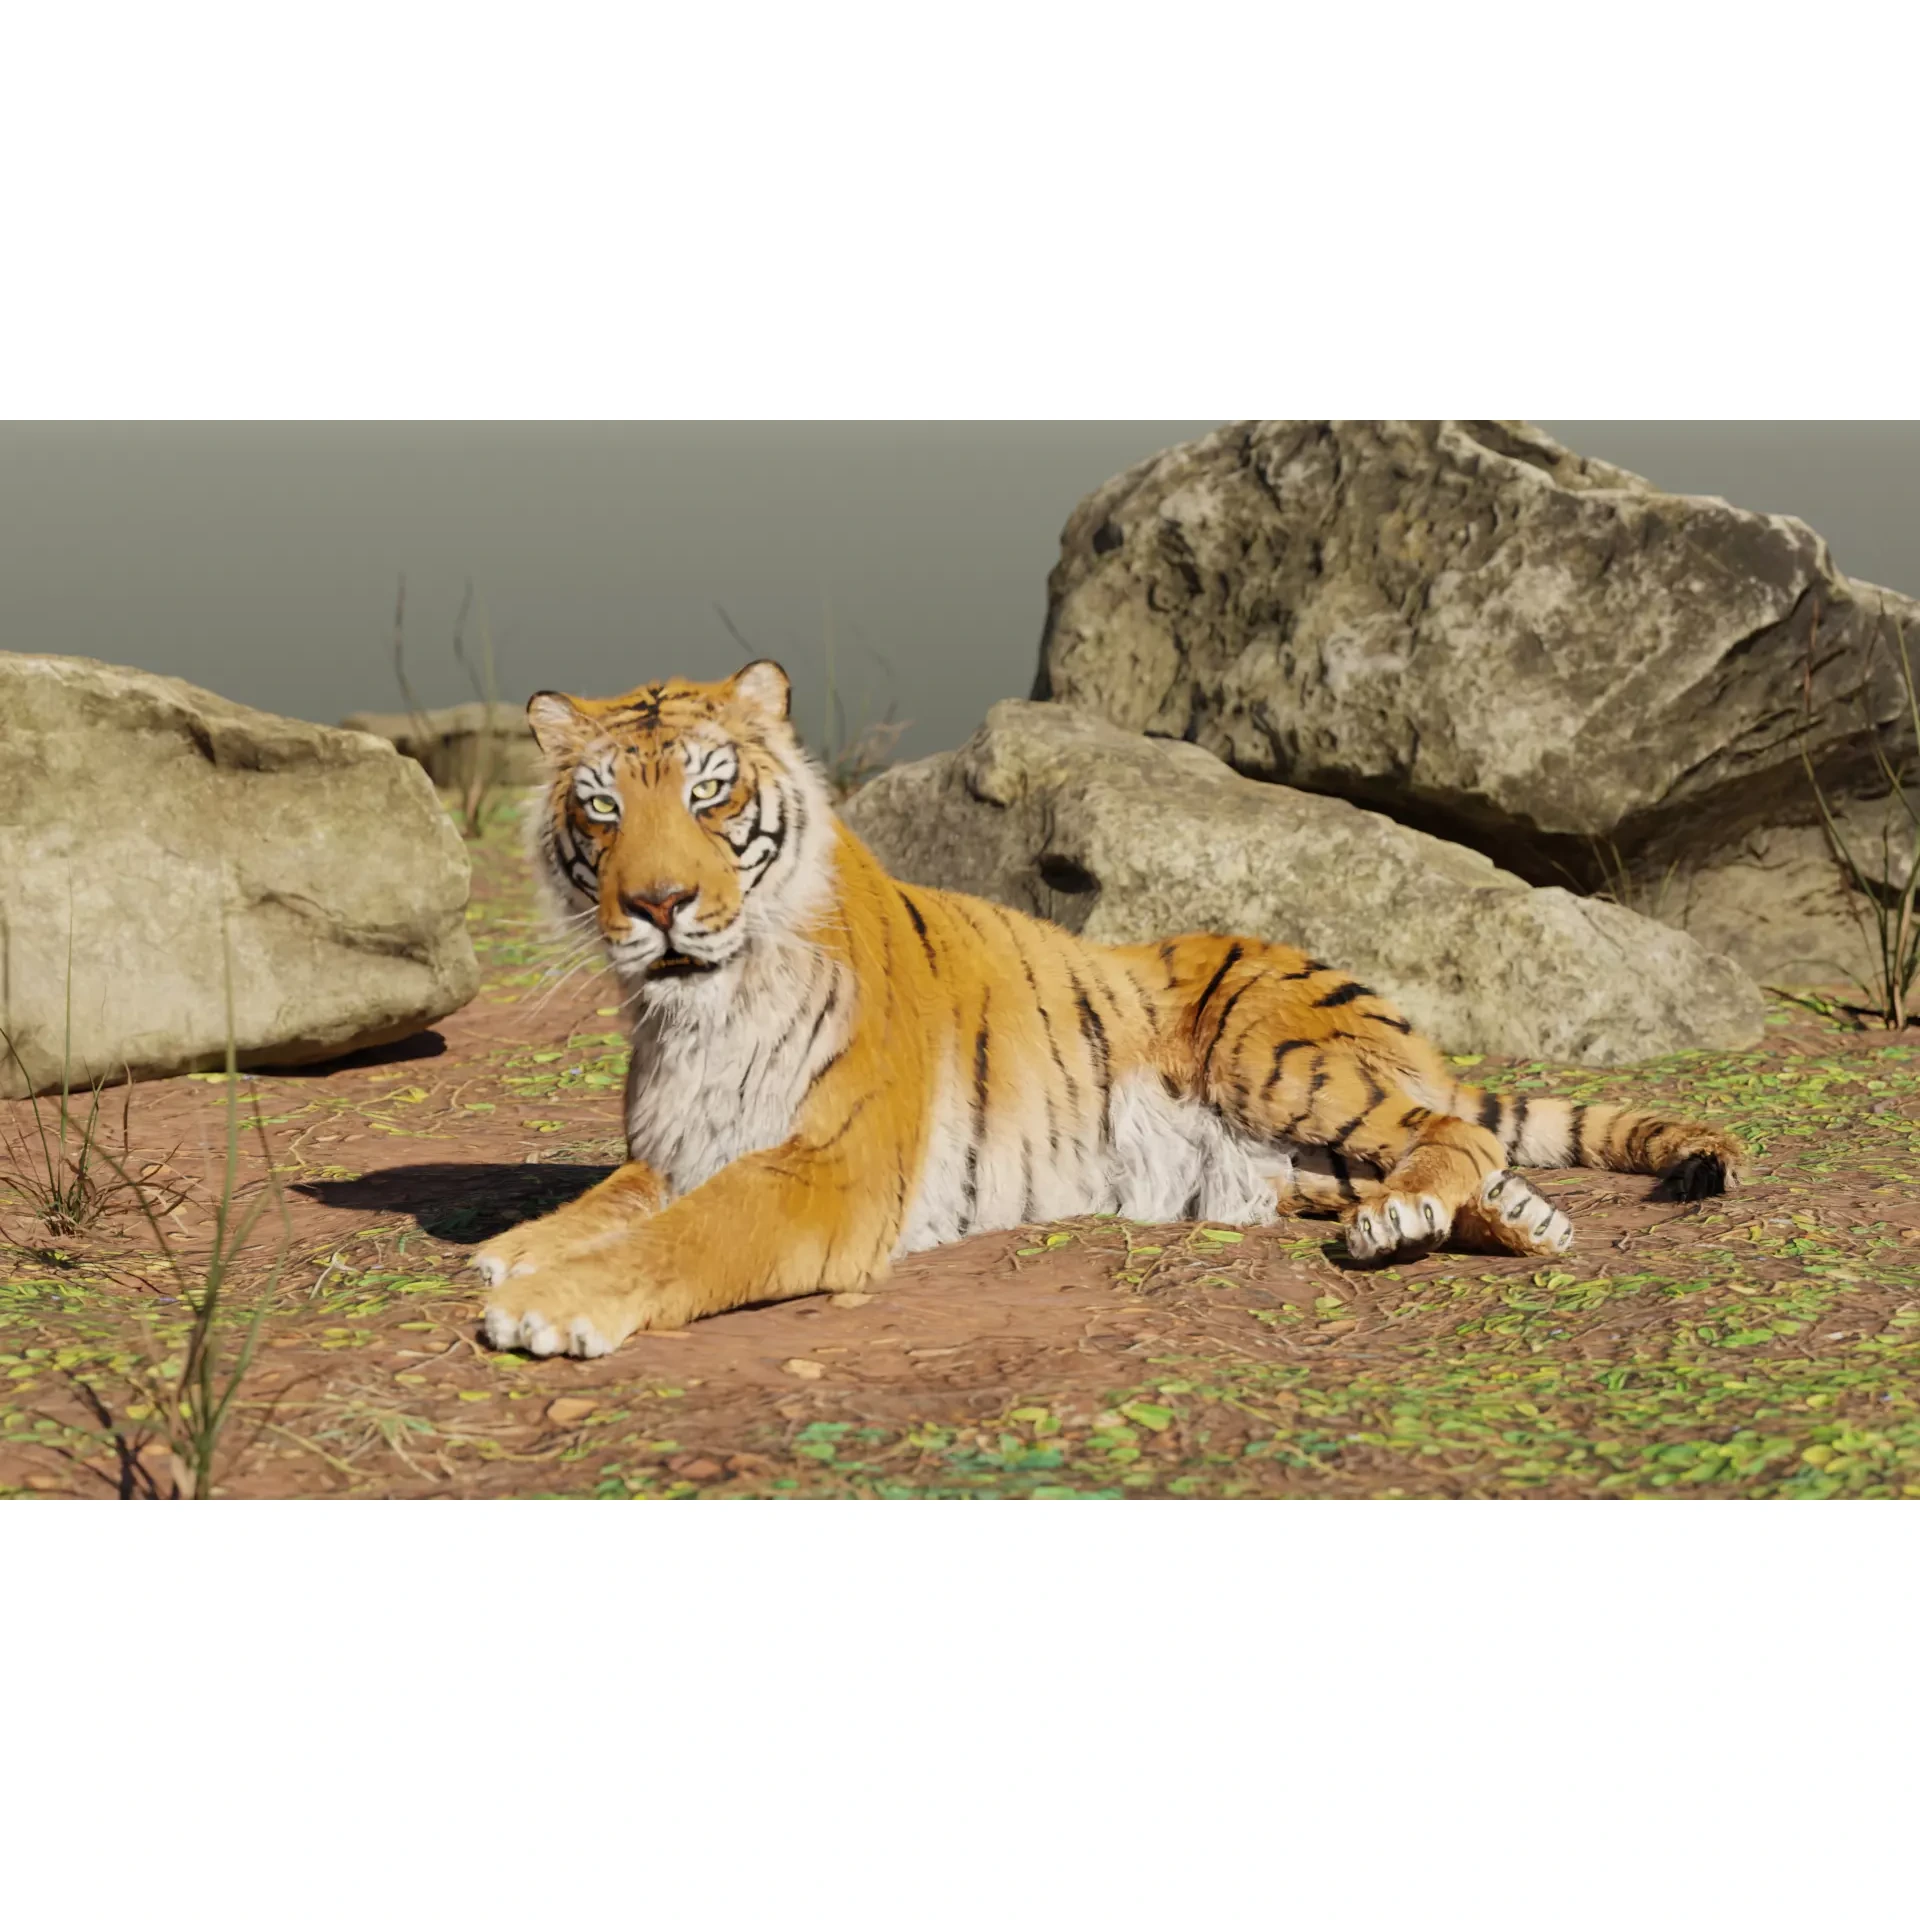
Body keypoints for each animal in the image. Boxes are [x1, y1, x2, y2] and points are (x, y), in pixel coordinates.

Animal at [473, 659, 1742, 1358]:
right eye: (599, 807)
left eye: (711, 792)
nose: (659, 904)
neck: (701, 1010)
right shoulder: (674, 1147)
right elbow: (608, 1203)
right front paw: (511, 1253)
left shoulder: (829, 1168)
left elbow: (690, 1235)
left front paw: (546, 1305)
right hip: (1289, 1161)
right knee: (1463, 1158)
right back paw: (1508, 1223)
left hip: (1272, 1057)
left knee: (1451, 1132)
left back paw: (1414, 1218)